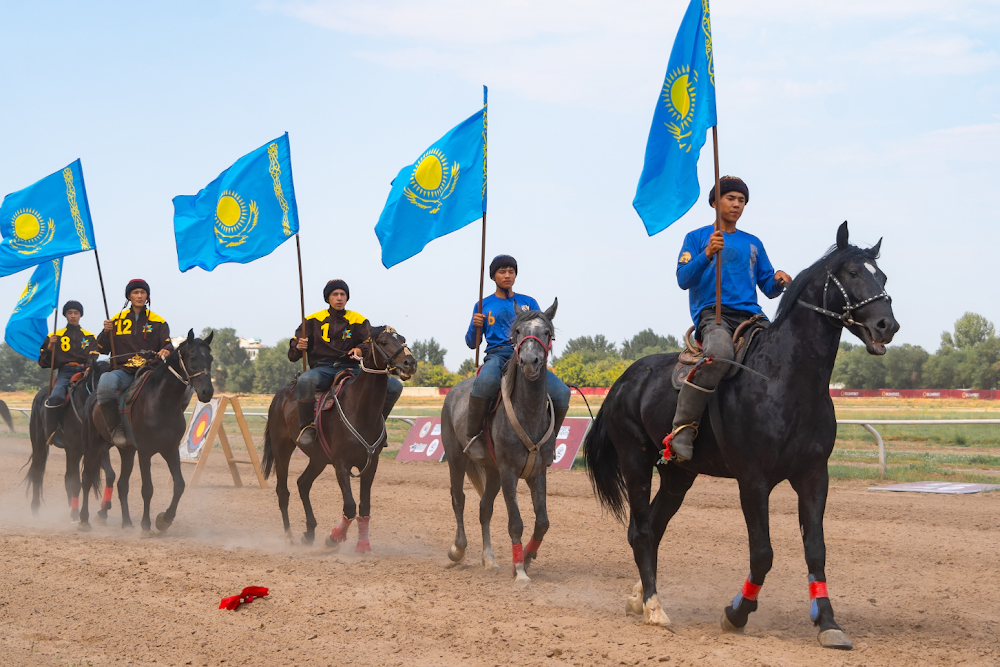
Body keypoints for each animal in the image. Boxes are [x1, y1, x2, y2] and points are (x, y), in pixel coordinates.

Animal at [26, 360, 117, 520]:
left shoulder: (100, 449)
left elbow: (110, 475)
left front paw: (104, 509)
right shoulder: (73, 449)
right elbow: (74, 481)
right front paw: (75, 513)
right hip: (39, 443)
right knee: (37, 471)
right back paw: (36, 508)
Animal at [79, 332, 215, 536]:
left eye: (211, 358)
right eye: (192, 357)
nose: (207, 391)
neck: (161, 402)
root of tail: (92, 398)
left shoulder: (170, 450)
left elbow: (179, 485)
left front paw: (164, 520)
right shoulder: (145, 452)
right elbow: (147, 489)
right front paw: (146, 525)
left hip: (126, 451)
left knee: (122, 485)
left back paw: (127, 523)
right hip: (93, 445)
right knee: (87, 478)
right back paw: (83, 520)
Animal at [264, 326, 416, 552]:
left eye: (403, 339)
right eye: (383, 341)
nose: (410, 362)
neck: (359, 410)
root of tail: (281, 394)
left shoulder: (371, 464)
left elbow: (364, 507)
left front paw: (363, 544)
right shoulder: (340, 463)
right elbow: (350, 506)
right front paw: (333, 538)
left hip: (318, 459)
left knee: (303, 484)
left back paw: (309, 533)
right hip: (282, 448)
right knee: (283, 492)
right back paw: (289, 537)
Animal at [444, 300, 560, 580]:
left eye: (547, 333)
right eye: (517, 331)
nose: (529, 361)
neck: (528, 414)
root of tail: (453, 392)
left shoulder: (537, 472)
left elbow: (542, 522)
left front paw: (527, 557)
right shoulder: (509, 471)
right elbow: (515, 522)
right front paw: (519, 571)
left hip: (492, 471)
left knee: (484, 508)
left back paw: (489, 559)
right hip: (457, 459)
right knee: (458, 499)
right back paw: (457, 549)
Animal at [584, 222, 900, 648]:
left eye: (881, 276)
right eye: (852, 273)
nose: (887, 325)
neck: (783, 381)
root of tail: (623, 380)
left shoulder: (814, 476)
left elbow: (816, 550)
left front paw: (828, 622)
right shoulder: (753, 481)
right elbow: (763, 553)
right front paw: (736, 613)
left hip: (678, 474)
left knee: (656, 525)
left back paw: (639, 596)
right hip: (635, 460)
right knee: (641, 529)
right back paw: (653, 606)